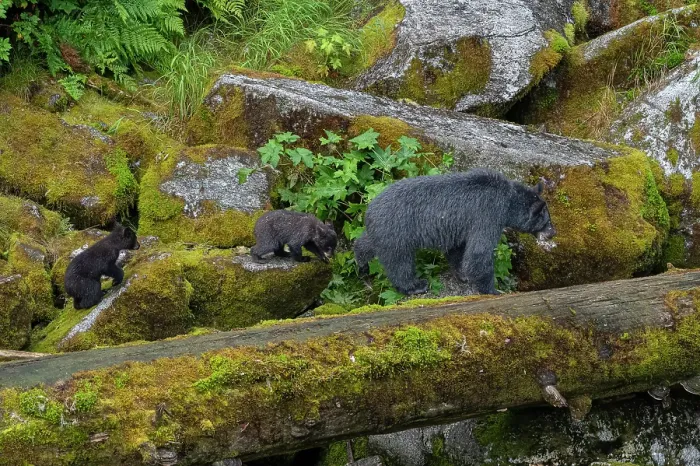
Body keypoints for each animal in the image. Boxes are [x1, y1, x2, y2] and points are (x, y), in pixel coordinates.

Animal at [354, 168, 556, 296]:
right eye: (547, 221)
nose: (553, 232)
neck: (509, 200)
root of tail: (369, 210)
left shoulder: (462, 227)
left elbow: (457, 248)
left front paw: (463, 274)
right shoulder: (488, 214)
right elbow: (479, 252)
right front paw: (492, 289)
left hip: (381, 232)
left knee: (366, 244)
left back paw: (361, 263)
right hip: (397, 232)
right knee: (400, 263)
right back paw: (415, 286)